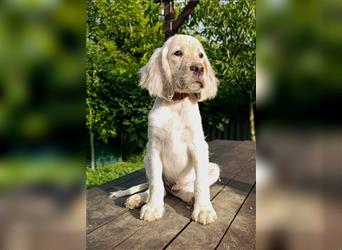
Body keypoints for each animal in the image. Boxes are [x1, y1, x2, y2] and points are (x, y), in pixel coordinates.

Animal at [123, 33, 219, 225]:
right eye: (178, 53)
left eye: (201, 56)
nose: (199, 68)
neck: (176, 104)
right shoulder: (153, 148)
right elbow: (155, 184)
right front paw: (153, 208)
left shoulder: (199, 146)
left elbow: (200, 183)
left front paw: (204, 210)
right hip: (146, 160)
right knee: (158, 188)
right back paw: (139, 198)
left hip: (213, 168)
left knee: (184, 189)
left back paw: (190, 196)